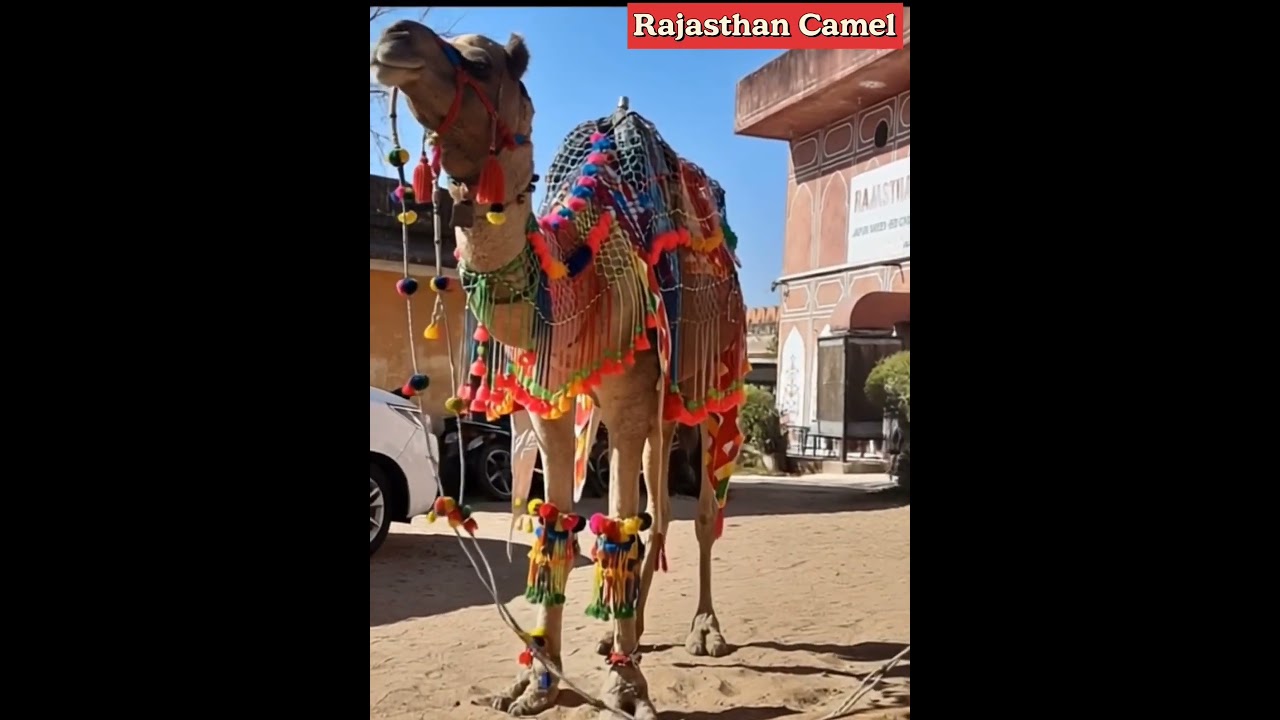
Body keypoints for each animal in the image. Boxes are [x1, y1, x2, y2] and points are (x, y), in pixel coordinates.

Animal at [372, 21, 748, 719]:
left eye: (481, 62)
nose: (395, 37)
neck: (566, 274)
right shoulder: (554, 403)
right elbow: (559, 527)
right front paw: (537, 682)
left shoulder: (626, 400)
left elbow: (617, 523)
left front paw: (624, 691)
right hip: (650, 409)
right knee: (658, 512)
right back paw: (625, 636)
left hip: (711, 384)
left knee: (700, 510)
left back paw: (701, 632)